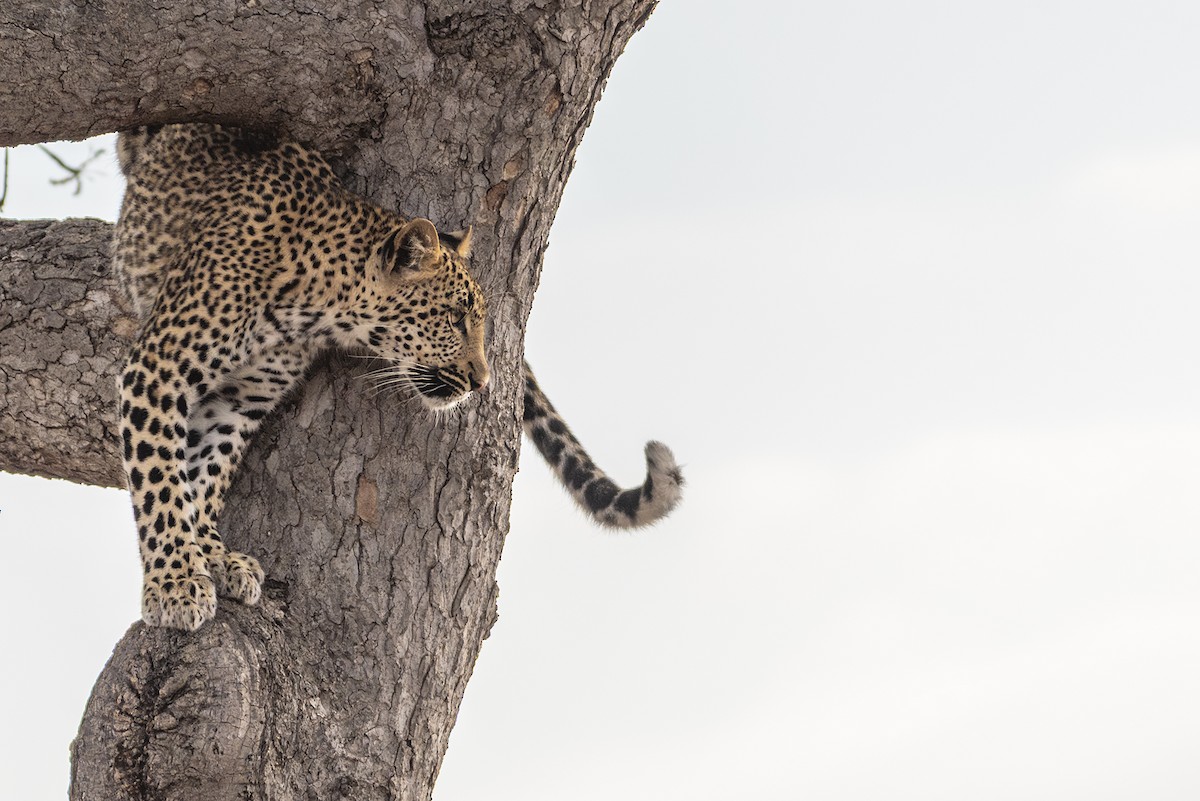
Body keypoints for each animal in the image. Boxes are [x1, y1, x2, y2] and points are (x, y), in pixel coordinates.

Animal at [113, 123, 683, 631]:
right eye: (455, 318)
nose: (483, 382)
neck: (312, 303)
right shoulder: (159, 368)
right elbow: (162, 483)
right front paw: (176, 584)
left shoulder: (239, 400)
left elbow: (204, 477)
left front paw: (213, 555)